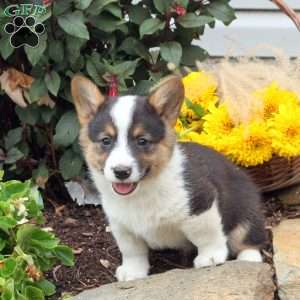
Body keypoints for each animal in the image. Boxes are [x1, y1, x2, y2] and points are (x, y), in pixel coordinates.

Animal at [71, 75, 266, 282]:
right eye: (106, 140)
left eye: (142, 141)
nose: (121, 171)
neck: (142, 192)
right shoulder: (122, 226)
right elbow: (132, 251)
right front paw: (133, 272)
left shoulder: (201, 205)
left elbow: (207, 236)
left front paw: (210, 257)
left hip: (245, 212)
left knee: (250, 238)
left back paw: (248, 259)